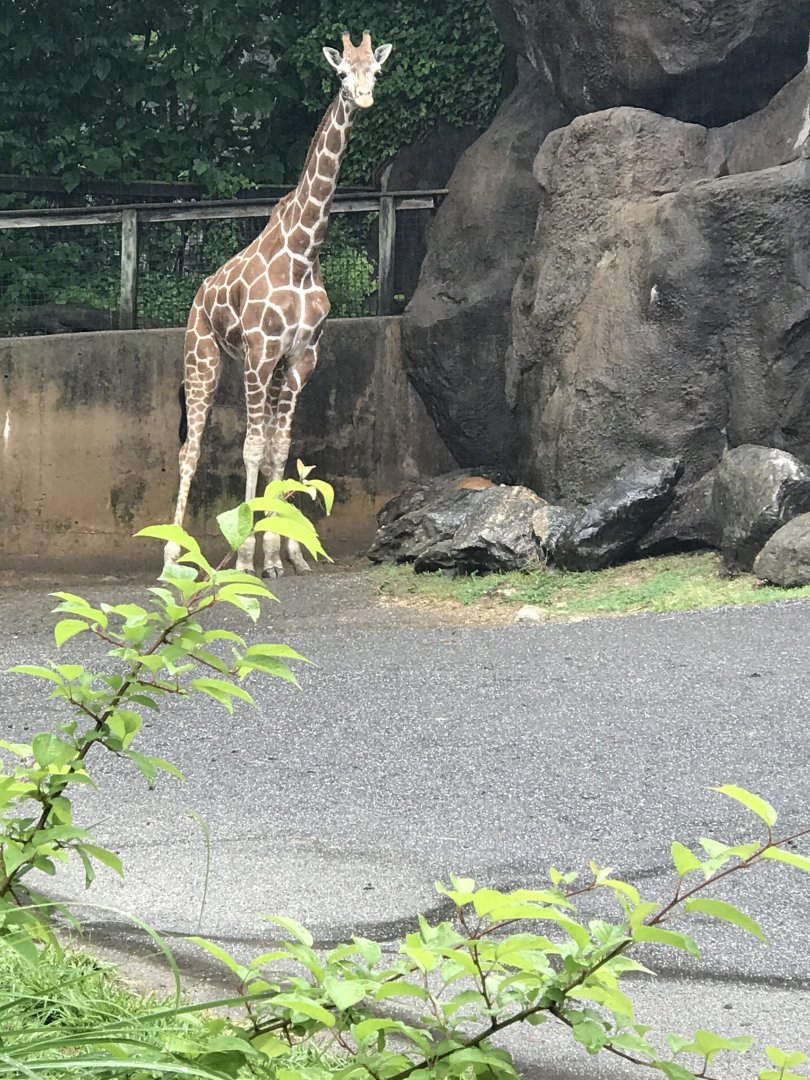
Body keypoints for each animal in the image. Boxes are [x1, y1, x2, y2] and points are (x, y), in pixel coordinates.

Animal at [165, 31, 393, 577]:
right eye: (341, 72)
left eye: (374, 71)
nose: (363, 98)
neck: (304, 253)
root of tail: (198, 297)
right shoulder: (262, 351)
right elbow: (251, 451)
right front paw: (247, 557)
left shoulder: (300, 356)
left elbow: (279, 450)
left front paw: (281, 554)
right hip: (203, 359)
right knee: (190, 450)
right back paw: (171, 556)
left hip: (252, 369)